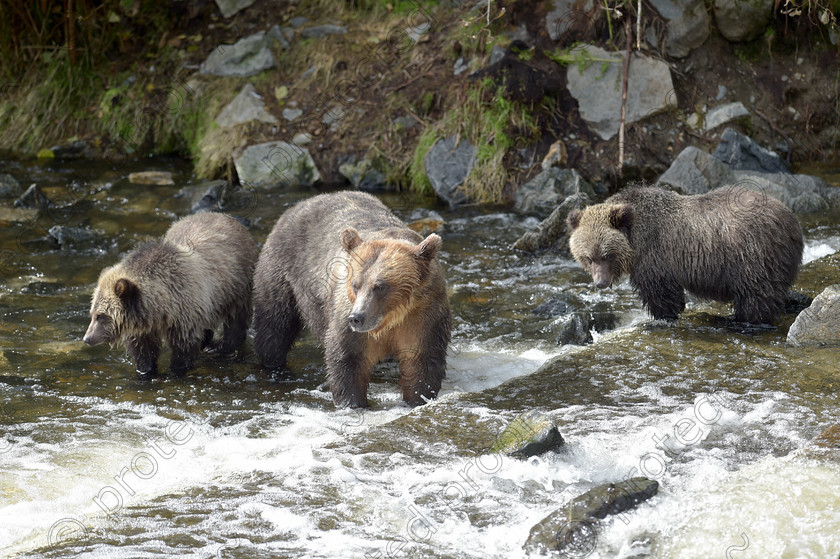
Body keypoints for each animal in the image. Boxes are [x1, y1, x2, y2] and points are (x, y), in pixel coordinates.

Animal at [85, 213, 258, 376]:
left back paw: (218, 346)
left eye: (101, 315)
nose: (87, 338)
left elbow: (183, 349)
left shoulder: (184, 313)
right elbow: (144, 350)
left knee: (236, 318)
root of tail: (228, 217)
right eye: (92, 314)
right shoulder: (144, 328)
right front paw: (145, 371)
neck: (159, 309)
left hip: (236, 285)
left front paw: (176, 370)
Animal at [254, 191, 452, 406]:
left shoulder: (424, 316)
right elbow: (347, 360)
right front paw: (353, 403)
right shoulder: (346, 318)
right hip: (282, 272)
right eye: (355, 285)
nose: (357, 317)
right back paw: (275, 366)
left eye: (380, 286)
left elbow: (421, 361)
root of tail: (301, 203)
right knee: (275, 324)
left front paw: (416, 398)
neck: (390, 320)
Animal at [568, 184, 804, 324]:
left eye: (608, 255)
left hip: (753, 254)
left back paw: (743, 321)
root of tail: (791, 219)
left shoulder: (655, 256)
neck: (637, 241)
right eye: (588, 257)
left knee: (756, 294)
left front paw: (663, 316)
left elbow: (661, 293)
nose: (600, 283)